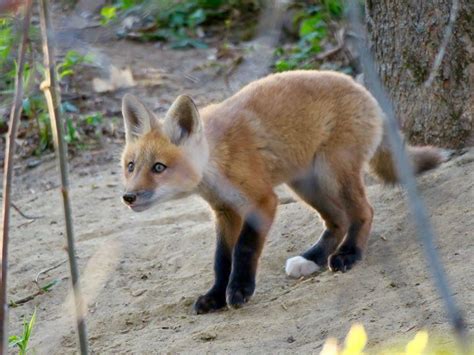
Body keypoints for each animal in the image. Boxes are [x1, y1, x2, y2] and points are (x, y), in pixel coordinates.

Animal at [120, 69, 446, 314]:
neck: (217, 159)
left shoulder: (263, 201)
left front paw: (239, 289)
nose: (128, 197)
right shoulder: (225, 211)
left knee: (364, 212)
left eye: (159, 167)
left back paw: (349, 254)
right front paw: (215, 295)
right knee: (338, 220)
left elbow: (244, 248)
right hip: (305, 185)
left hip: (332, 174)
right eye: (131, 166)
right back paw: (312, 259)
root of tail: (365, 91)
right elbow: (220, 259)